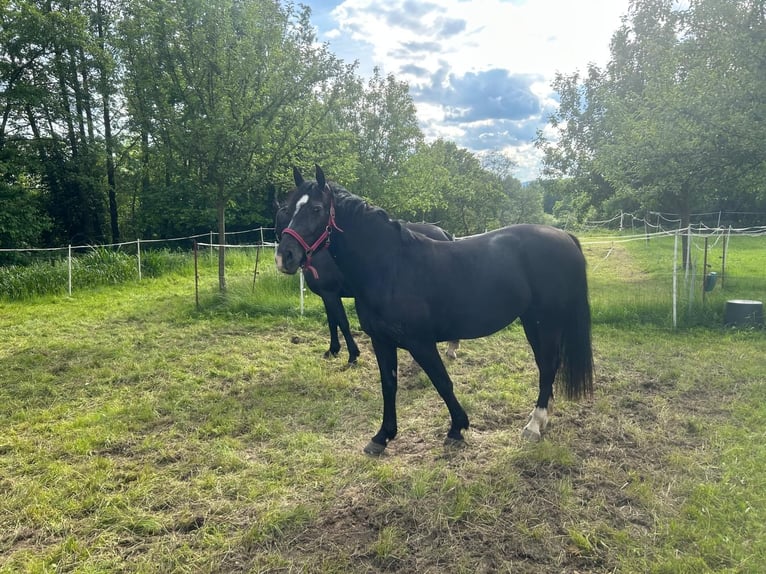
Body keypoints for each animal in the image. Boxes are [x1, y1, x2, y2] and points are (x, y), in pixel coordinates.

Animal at [275, 169, 459, 364]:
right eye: (290, 210)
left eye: (316, 209)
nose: (283, 257)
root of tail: (443, 233)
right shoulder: (327, 295)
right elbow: (332, 322)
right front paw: (333, 349)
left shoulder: (330, 293)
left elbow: (342, 322)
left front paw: (352, 354)